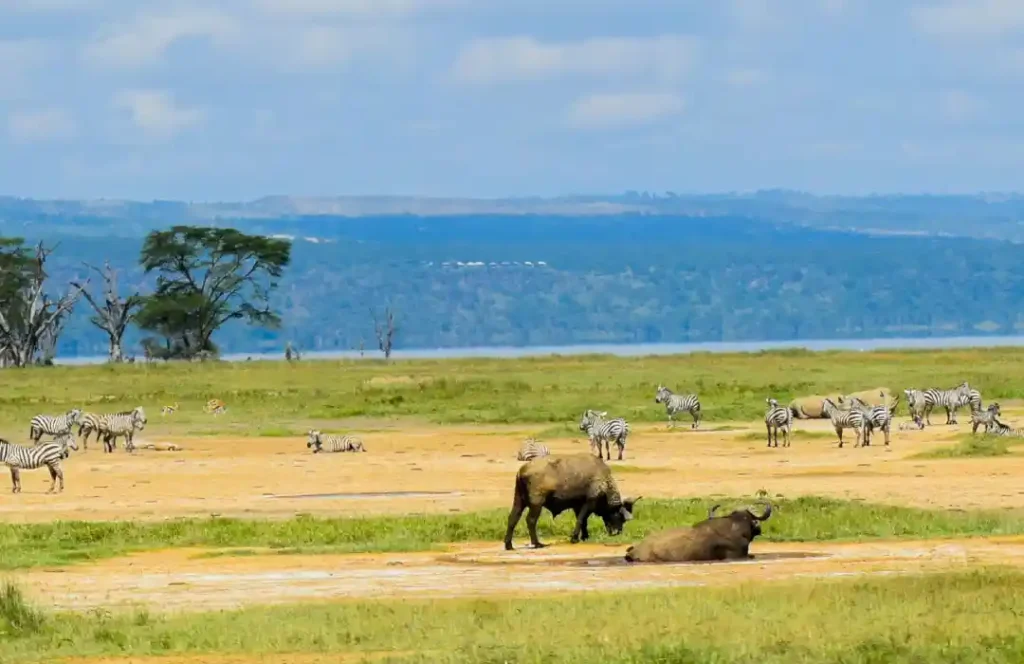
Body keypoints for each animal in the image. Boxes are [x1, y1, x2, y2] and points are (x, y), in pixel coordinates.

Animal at [503, 452, 638, 553]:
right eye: (620, 517)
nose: (618, 532)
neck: (604, 482)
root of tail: (522, 470)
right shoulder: (588, 502)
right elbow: (581, 520)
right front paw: (575, 538)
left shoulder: (577, 506)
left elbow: (583, 521)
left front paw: (584, 536)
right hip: (537, 504)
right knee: (530, 521)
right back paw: (537, 543)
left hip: (519, 501)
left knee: (512, 518)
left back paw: (509, 545)